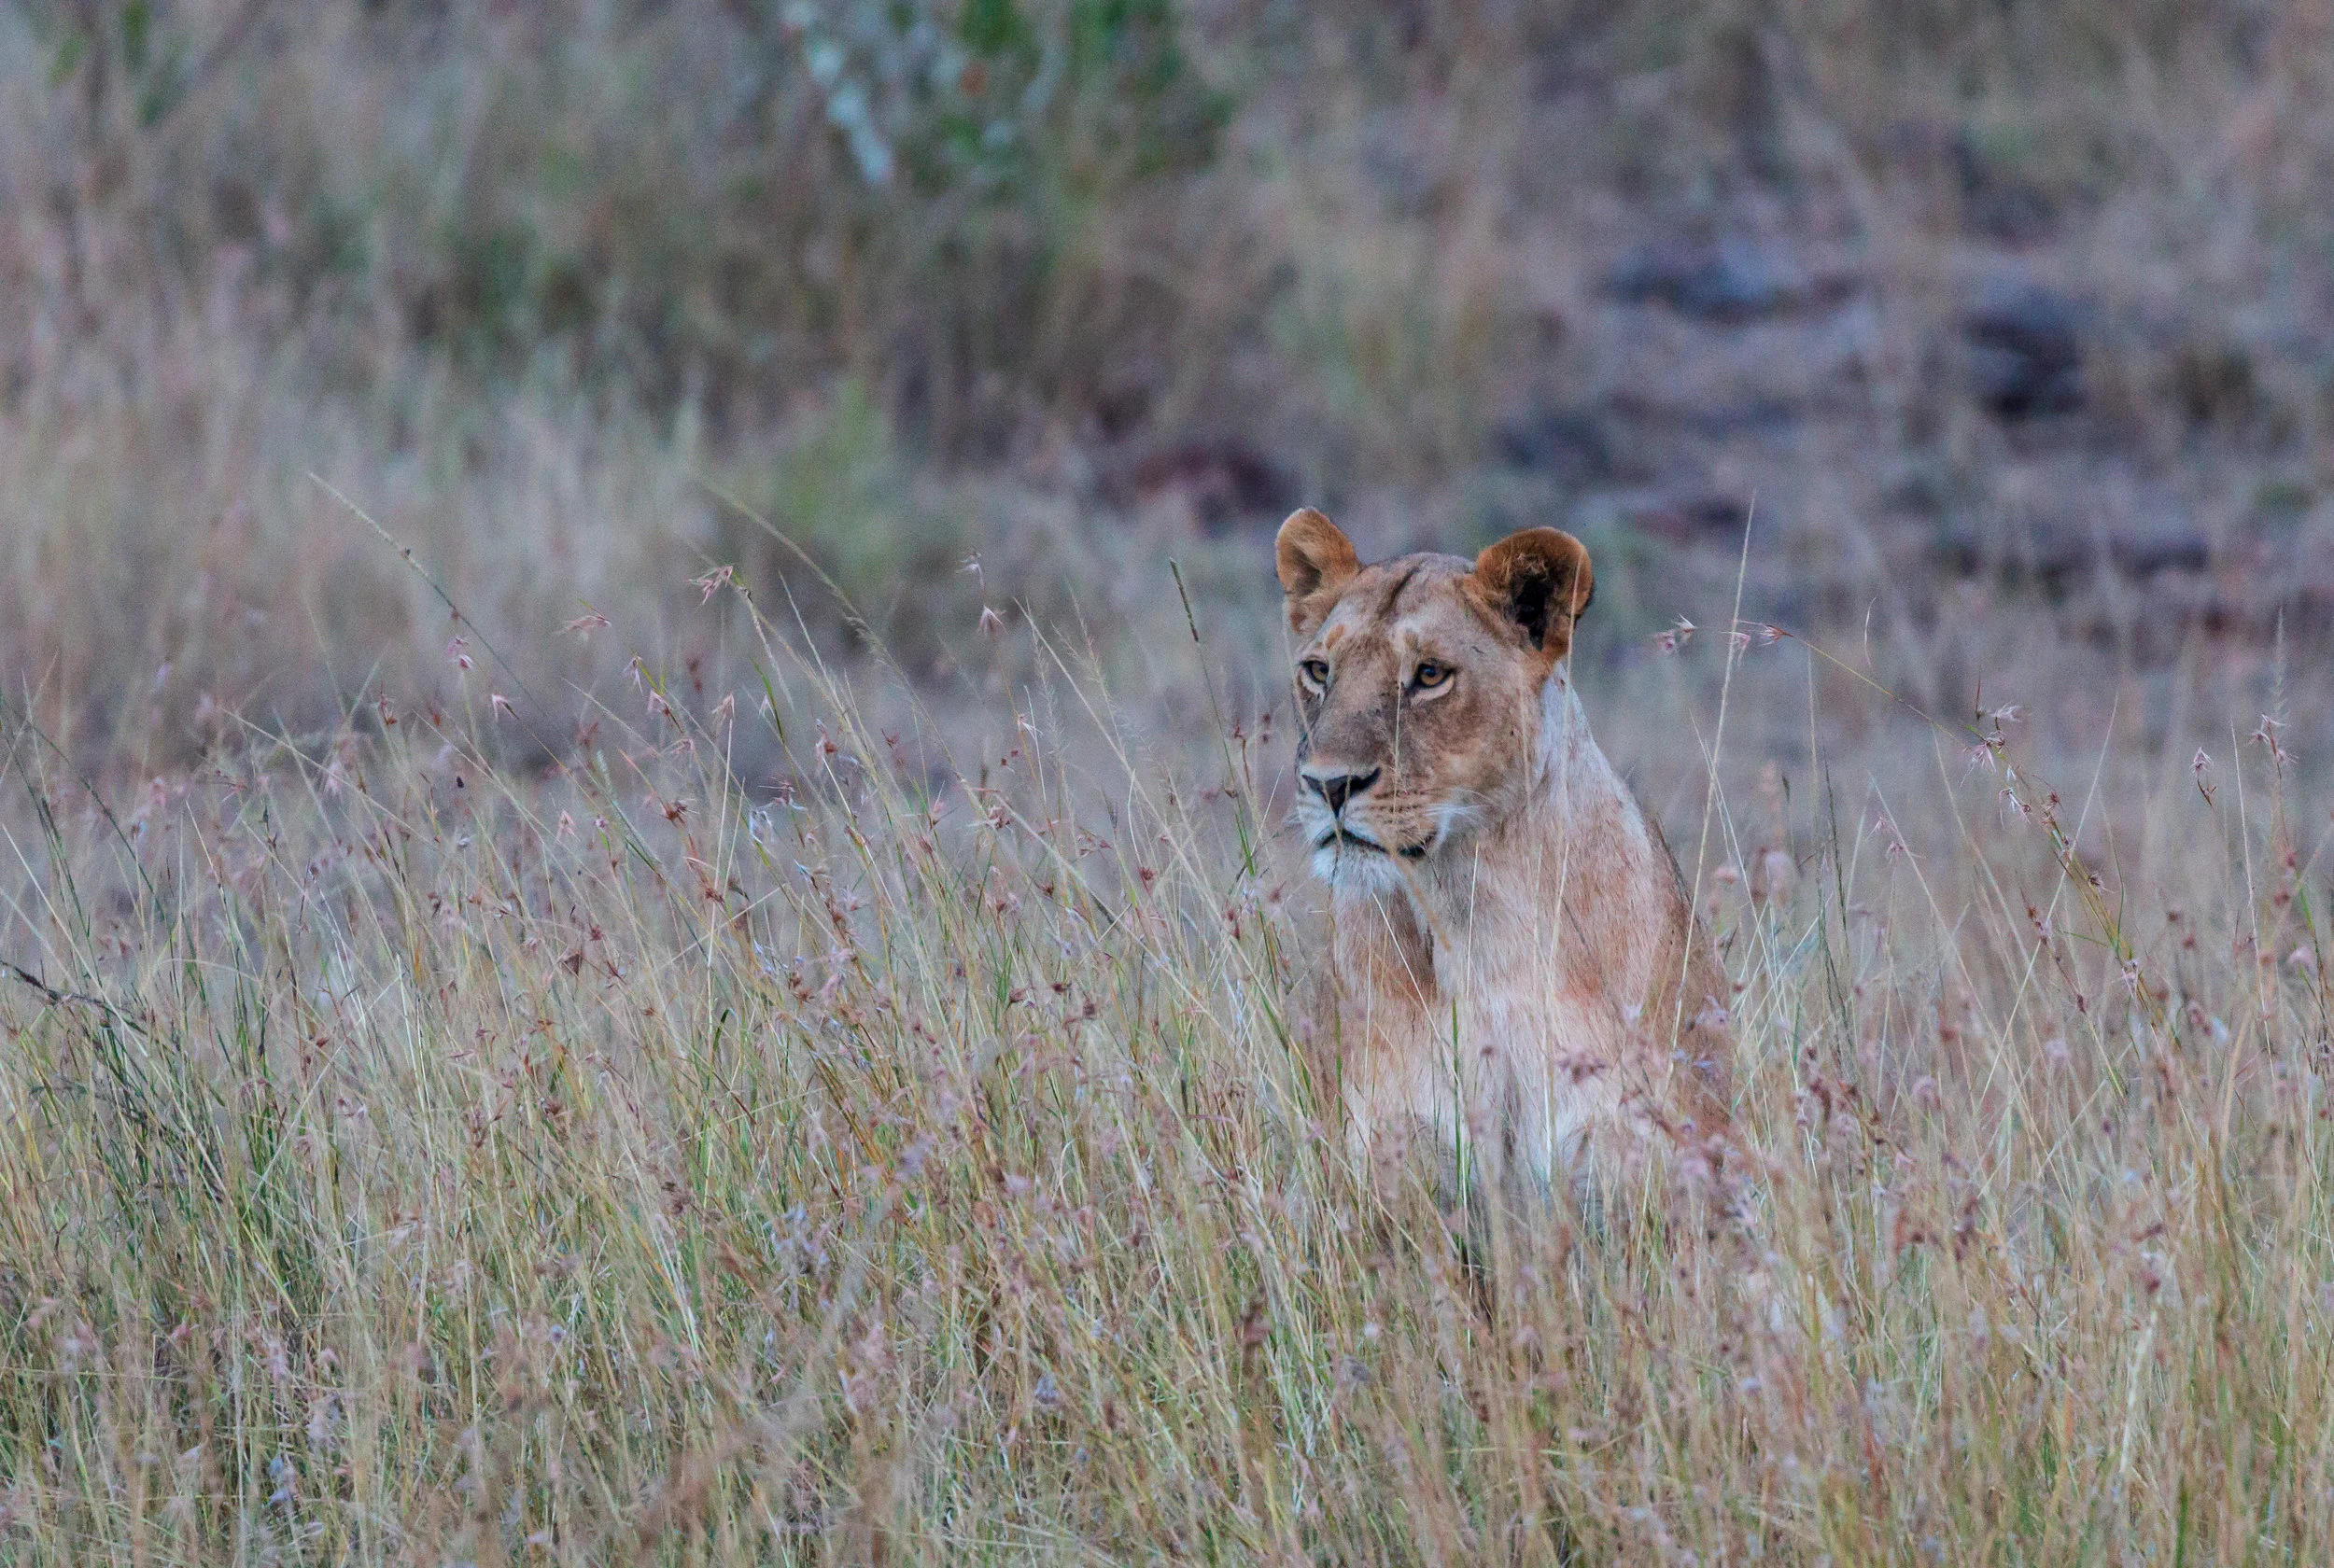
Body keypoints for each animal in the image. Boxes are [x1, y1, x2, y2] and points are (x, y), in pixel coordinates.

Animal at [1275, 507, 1735, 1201]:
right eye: (1319, 671)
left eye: (1430, 675)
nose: (1328, 784)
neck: (1467, 910)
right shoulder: (1398, 1154)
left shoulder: (1626, 1156)